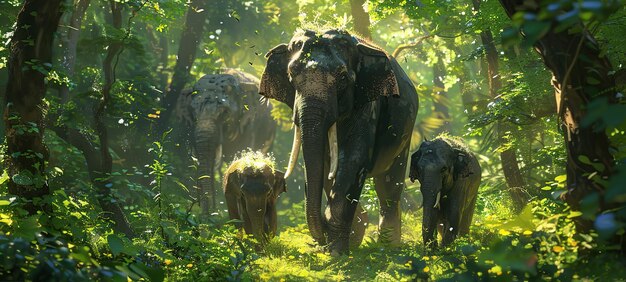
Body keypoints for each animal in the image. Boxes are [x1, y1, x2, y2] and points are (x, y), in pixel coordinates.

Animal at [256, 29, 416, 256]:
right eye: (291, 75)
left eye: (342, 77)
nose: (319, 241)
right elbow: (324, 168)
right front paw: (337, 241)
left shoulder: (367, 105)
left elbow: (353, 161)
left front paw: (337, 252)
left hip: (405, 134)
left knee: (389, 185)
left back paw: (388, 245)